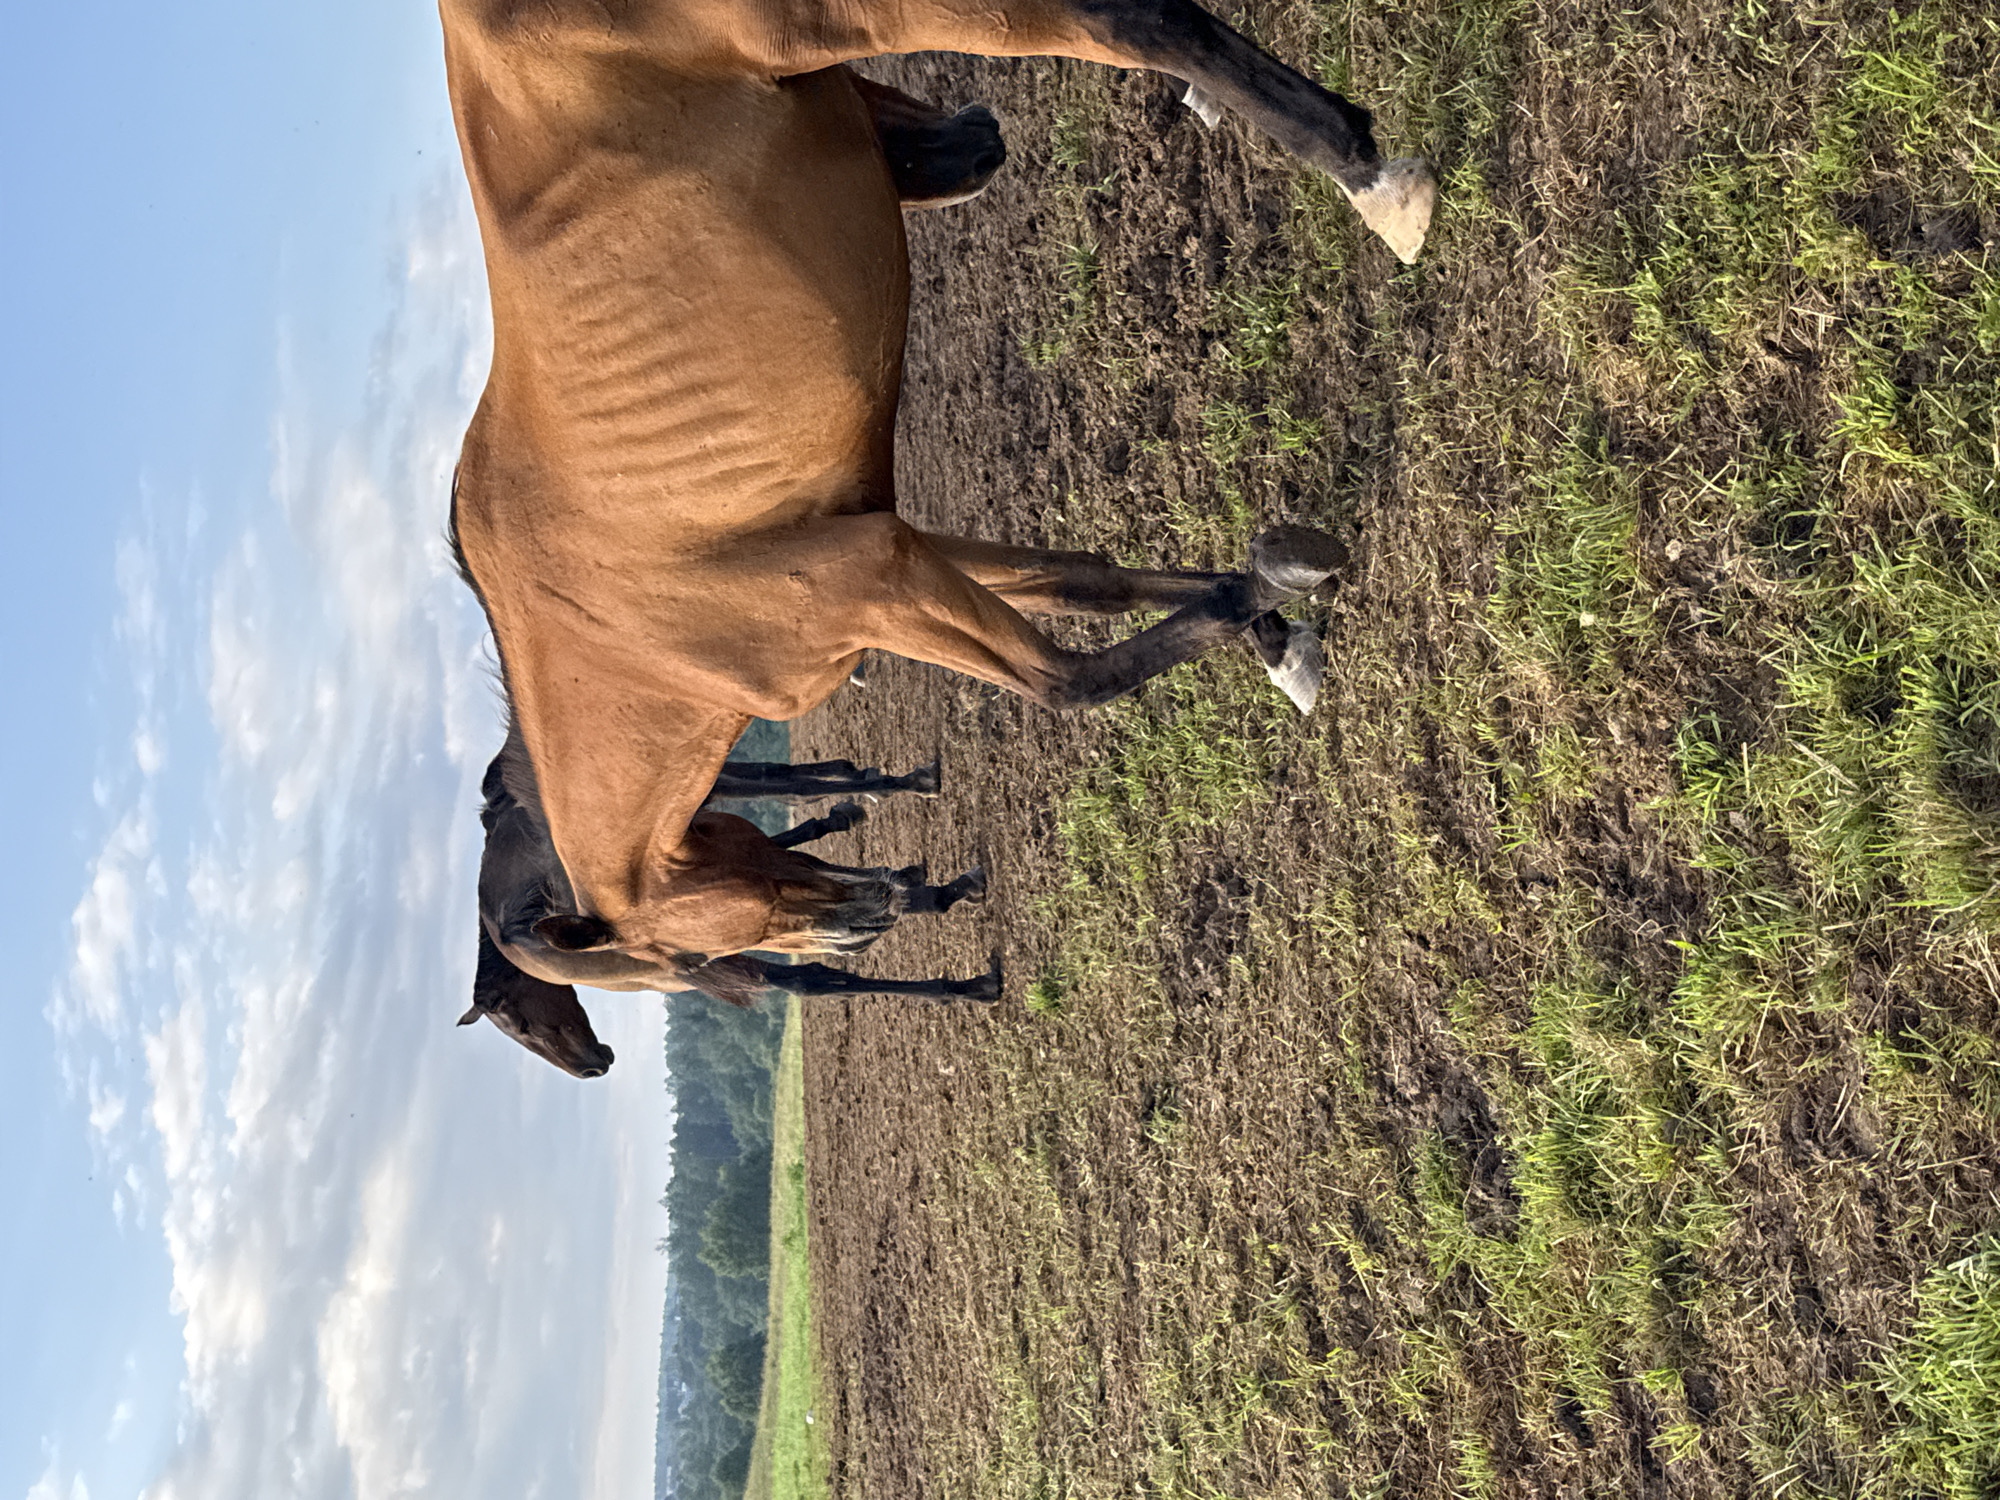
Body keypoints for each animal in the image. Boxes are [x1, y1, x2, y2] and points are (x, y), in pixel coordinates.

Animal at [441, 0, 1418, 994]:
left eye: (685, 957)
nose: (855, 928)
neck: (631, 638)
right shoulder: (898, 547)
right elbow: (1085, 582)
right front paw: (1271, 628)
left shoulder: (875, 582)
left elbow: (1066, 682)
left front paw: (1265, 591)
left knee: (1132, 27)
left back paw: (1373, 179)